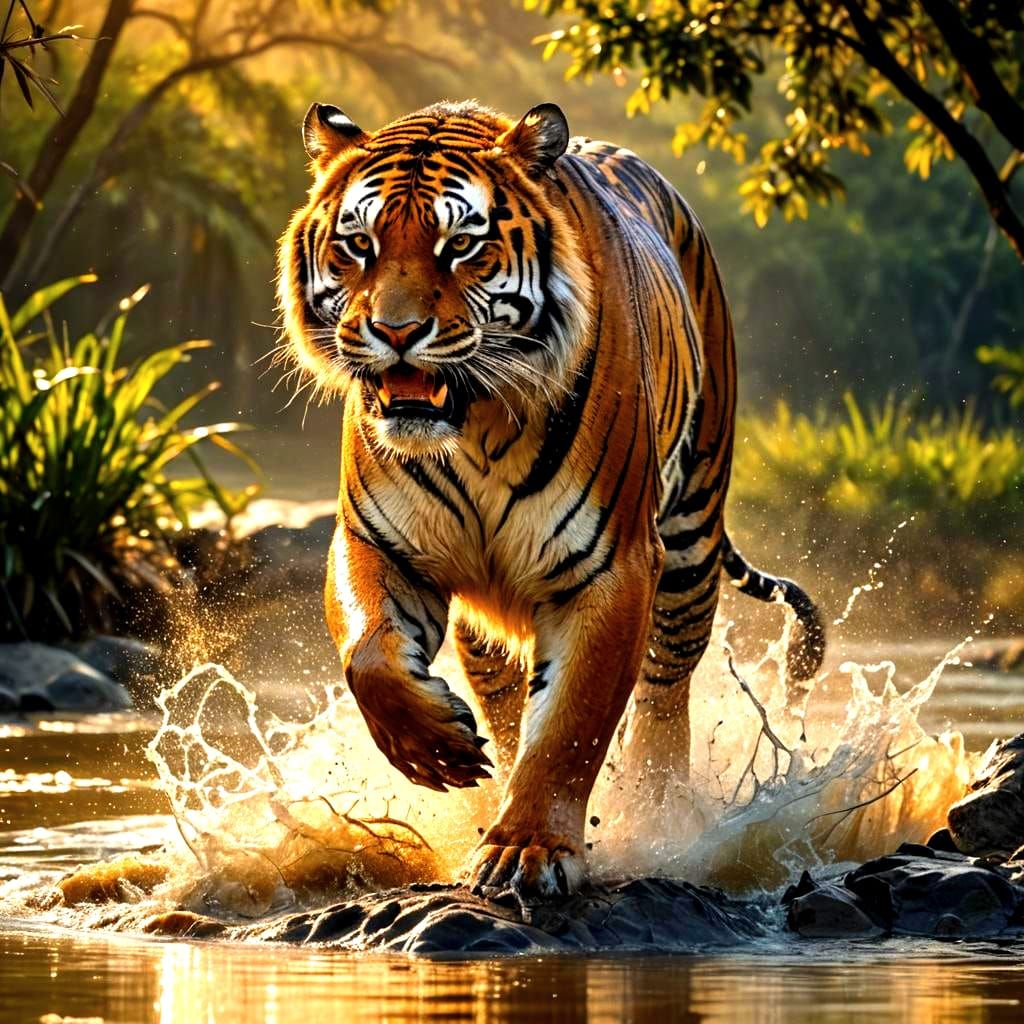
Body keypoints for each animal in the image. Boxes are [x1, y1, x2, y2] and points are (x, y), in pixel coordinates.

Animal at [277, 99, 825, 900]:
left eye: (461, 245)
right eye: (358, 244)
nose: (396, 332)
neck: (473, 424)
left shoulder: (612, 565)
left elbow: (571, 724)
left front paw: (528, 850)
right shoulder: (376, 541)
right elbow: (369, 652)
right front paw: (436, 750)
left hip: (690, 539)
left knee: (665, 696)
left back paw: (659, 816)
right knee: (505, 699)